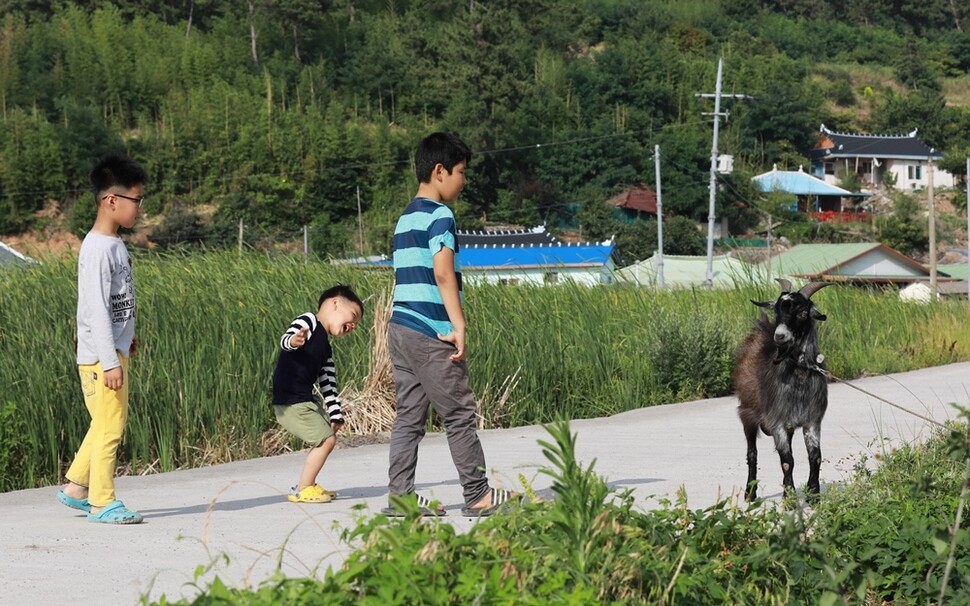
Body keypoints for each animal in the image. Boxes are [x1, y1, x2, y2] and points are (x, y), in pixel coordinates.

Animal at [732, 280, 832, 504]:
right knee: (752, 453)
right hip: (747, 414)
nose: (779, 336)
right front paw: (789, 498)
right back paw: (750, 494)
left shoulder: (811, 421)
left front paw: (814, 494)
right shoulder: (777, 422)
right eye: (777, 312)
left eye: (803, 313)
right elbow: (787, 461)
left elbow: (815, 457)